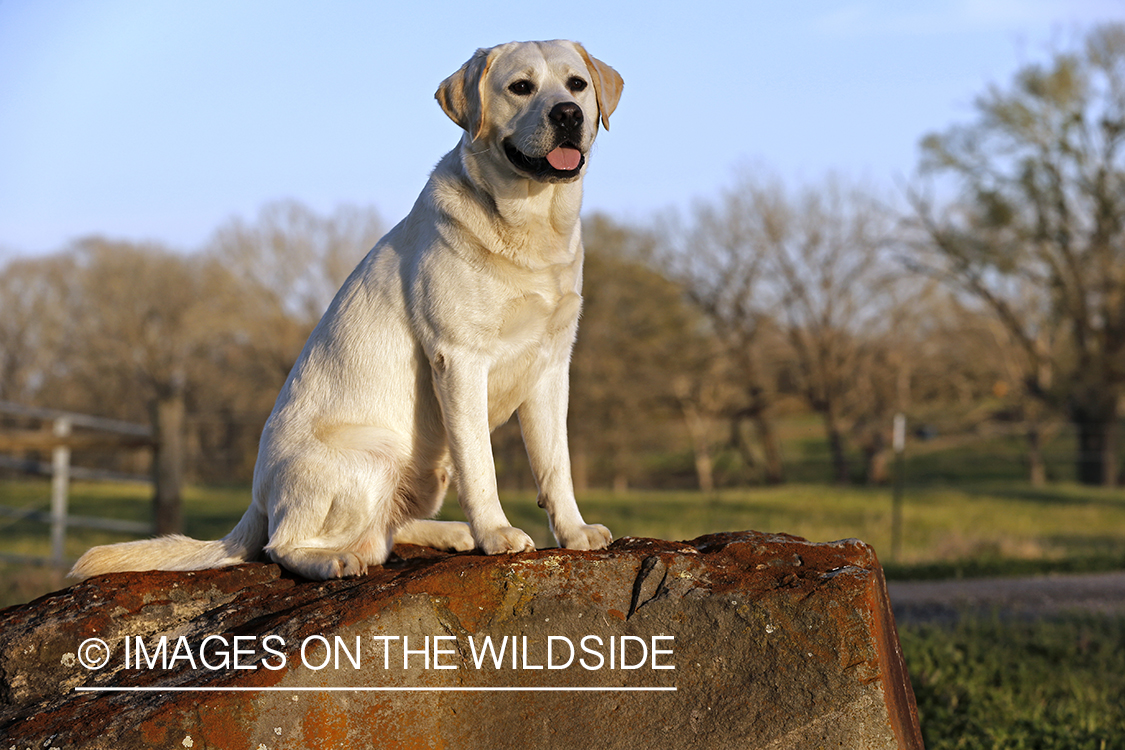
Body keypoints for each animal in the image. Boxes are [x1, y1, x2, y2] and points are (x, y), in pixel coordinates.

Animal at [70, 39, 625, 580]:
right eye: (521, 87)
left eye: (576, 84)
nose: (569, 114)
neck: (531, 227)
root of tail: (257, 500)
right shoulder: (460, 360)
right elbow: (481, 467)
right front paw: (495, 533)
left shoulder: (550, 366)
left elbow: (556, 466)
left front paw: (574, 532)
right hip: (374, 458)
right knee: (286, 546)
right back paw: (337, 560)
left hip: (425, 470)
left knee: (385, 533)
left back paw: (449, 533)